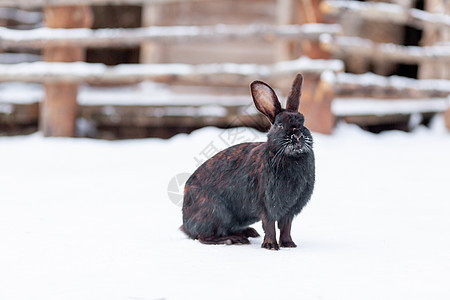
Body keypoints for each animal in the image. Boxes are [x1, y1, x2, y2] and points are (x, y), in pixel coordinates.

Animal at [181, 74, 314, 250]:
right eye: (280, 124)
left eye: (303, 122)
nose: (297, 136)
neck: (292, 157)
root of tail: (185, 224)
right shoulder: (267, 205)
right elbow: (270, 226)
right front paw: (271, 246)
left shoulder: (289, 211)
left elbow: (286, 227)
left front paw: (289, 244)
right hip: (215, 212)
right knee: (203, 237)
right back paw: (233, 239)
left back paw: (248, 232)